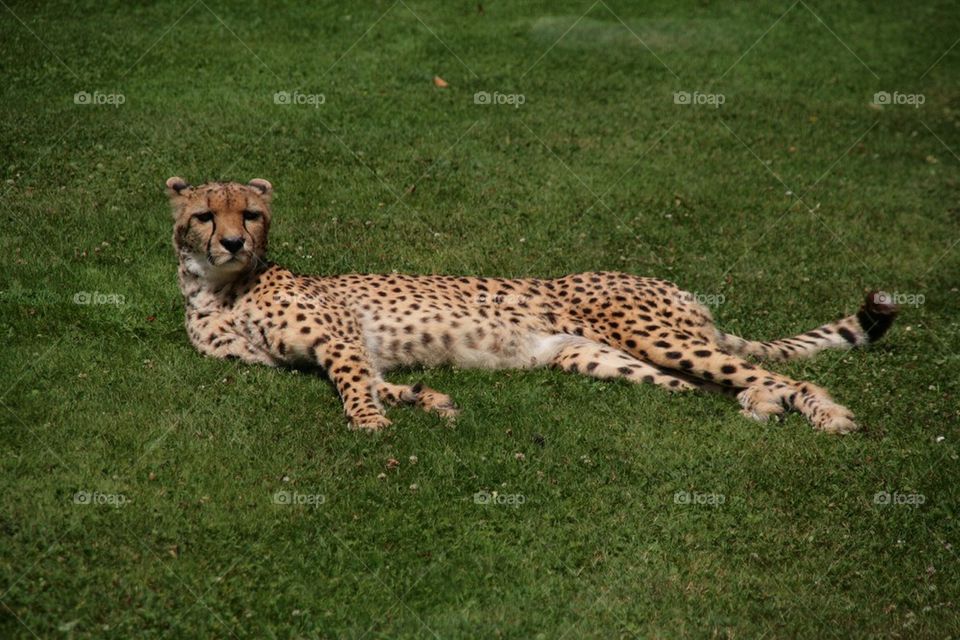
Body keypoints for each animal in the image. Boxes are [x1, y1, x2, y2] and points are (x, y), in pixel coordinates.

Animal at [165, 176, 898, 434]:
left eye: (250, 213)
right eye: (205, 215)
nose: (232, 241)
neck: (218, 289)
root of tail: (678, 291)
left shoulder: (339, 339)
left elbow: (353, 384)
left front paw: (371, 422)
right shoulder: (319, 353)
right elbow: (375, 379)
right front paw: (424, 399)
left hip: (654, 334)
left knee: (779, 372)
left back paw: (824, 414)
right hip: (597, 358)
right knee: (707, 385)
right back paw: (758, 405)